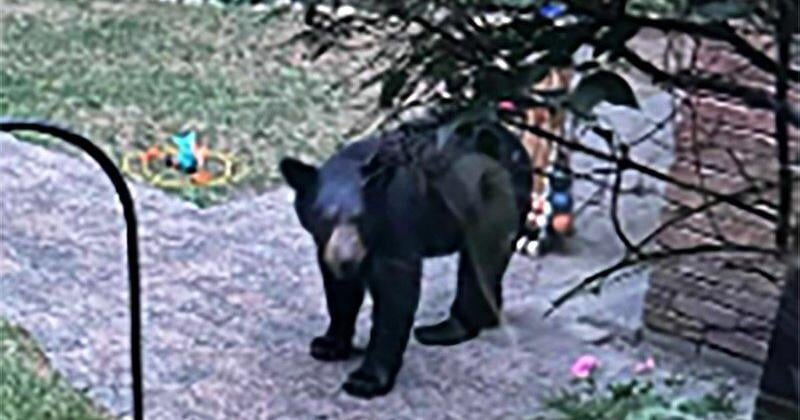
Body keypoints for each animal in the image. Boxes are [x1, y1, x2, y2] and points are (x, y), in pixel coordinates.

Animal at [279, 117, 532, 399]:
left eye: (360, 218)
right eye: (324, 218)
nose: (345, 260)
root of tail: (513, 140)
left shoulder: (397, 222)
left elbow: (395, 293)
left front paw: (366, 379)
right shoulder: (326, 245)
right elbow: (340, 291)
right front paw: (329, 343)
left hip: (496, 202)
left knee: (479, 266)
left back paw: (445, 329)